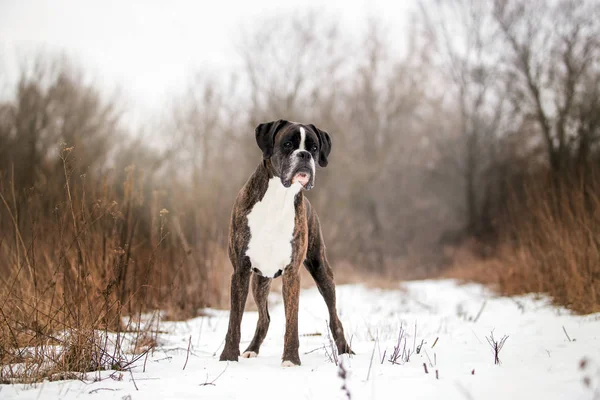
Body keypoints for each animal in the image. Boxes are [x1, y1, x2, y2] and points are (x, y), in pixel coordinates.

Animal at [219, 118, 352, 366]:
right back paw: (251, 349)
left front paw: (290, 359)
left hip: (322, 271)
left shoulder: (292, 273)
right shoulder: (240, 270)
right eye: (288, 144)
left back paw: (345, 352)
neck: (278, 197)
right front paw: (228, 357)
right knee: (264, 318)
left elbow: (292, 321)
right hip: (259, 282)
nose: (304, 155)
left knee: (334, 317)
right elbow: (234, 321)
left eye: (314, 148)